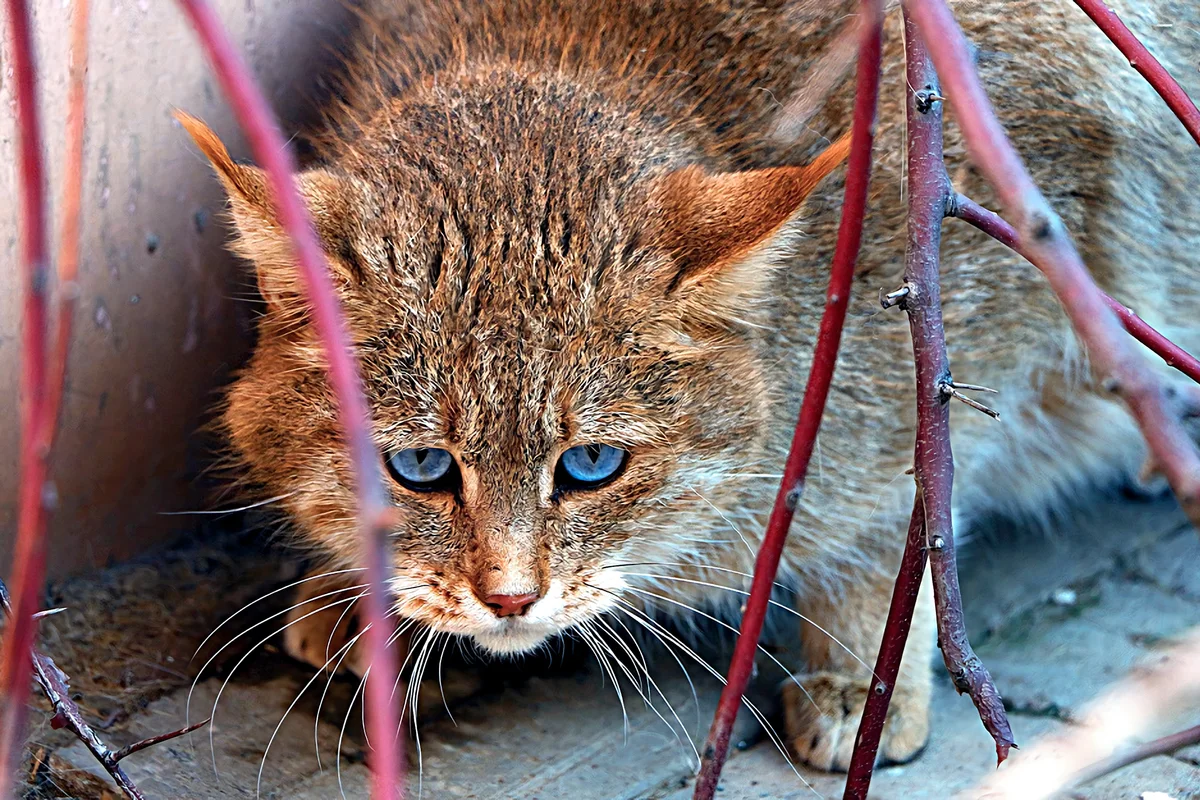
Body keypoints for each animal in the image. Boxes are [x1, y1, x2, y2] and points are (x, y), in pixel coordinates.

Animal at [177, 0, 1200, 777]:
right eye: (421, 467)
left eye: (591, 465)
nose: (509, 600)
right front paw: (355, 589)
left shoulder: (968, 293)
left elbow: (909, 501)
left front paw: (865, 675)